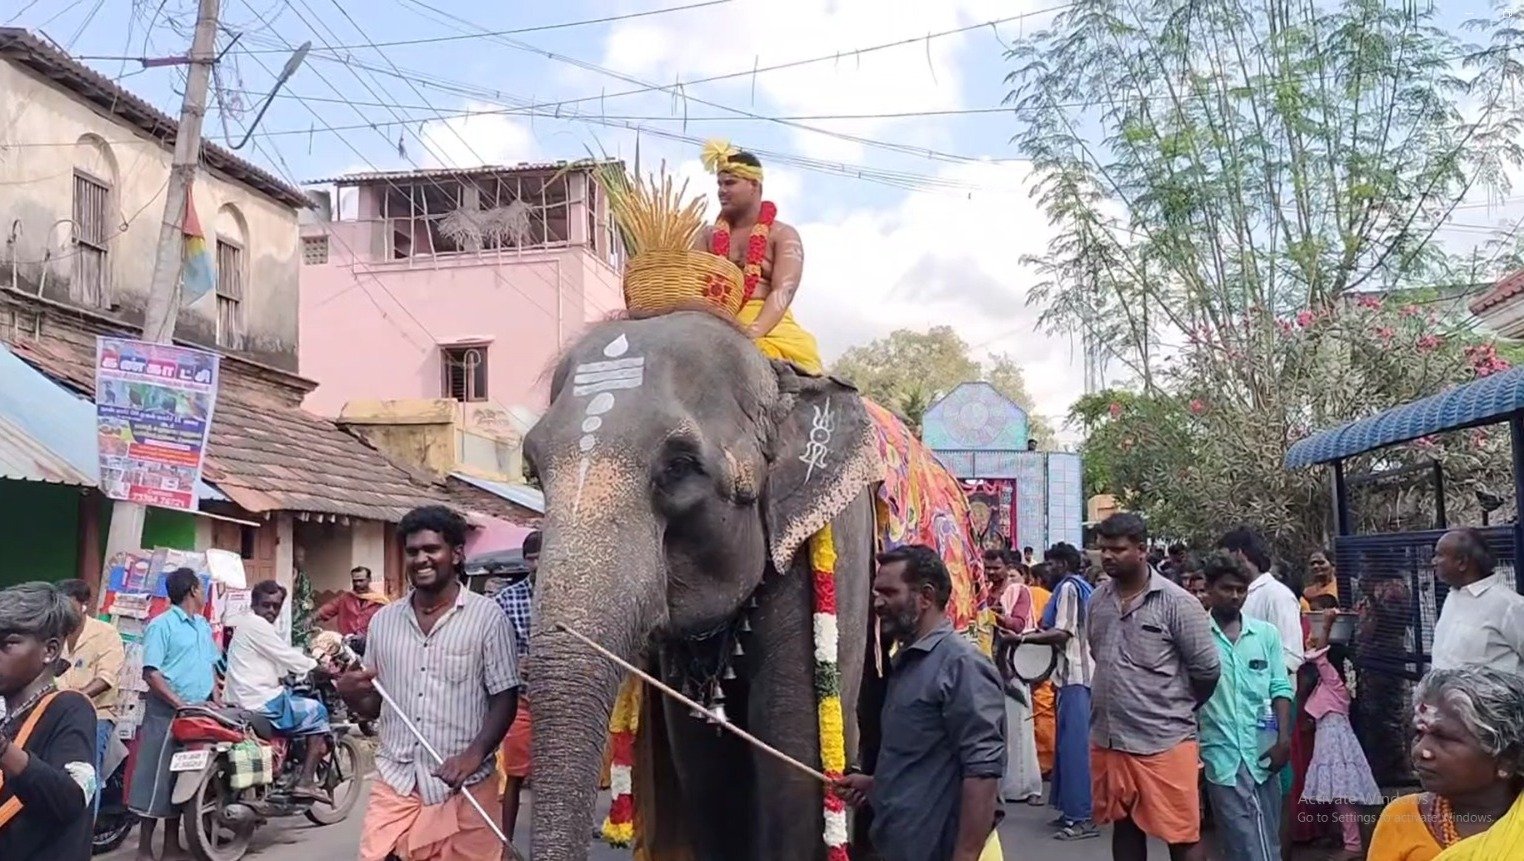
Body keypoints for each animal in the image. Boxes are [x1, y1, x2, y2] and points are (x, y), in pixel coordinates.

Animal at [521, 309, 975, 859]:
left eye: (679, 467)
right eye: (532, 471)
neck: (779, 378)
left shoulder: (837, 536)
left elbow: (794, 753)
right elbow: (706, 767)